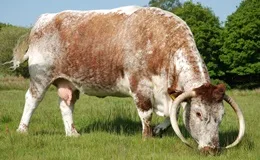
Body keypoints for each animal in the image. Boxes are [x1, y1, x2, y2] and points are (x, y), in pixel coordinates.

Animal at [11, 5, 245, 154]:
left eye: (221, 115)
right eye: (198, 113)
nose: (212, 149)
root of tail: (45, 18)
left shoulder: (170, 92)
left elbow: (174, 112)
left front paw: (159, 130)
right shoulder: (140, 85)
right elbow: (146, 113)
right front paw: (147, 137)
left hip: (68, 82)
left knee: (65, 105)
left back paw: (72, 133)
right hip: (40, 77)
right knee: (32, 100)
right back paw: (22, 130)